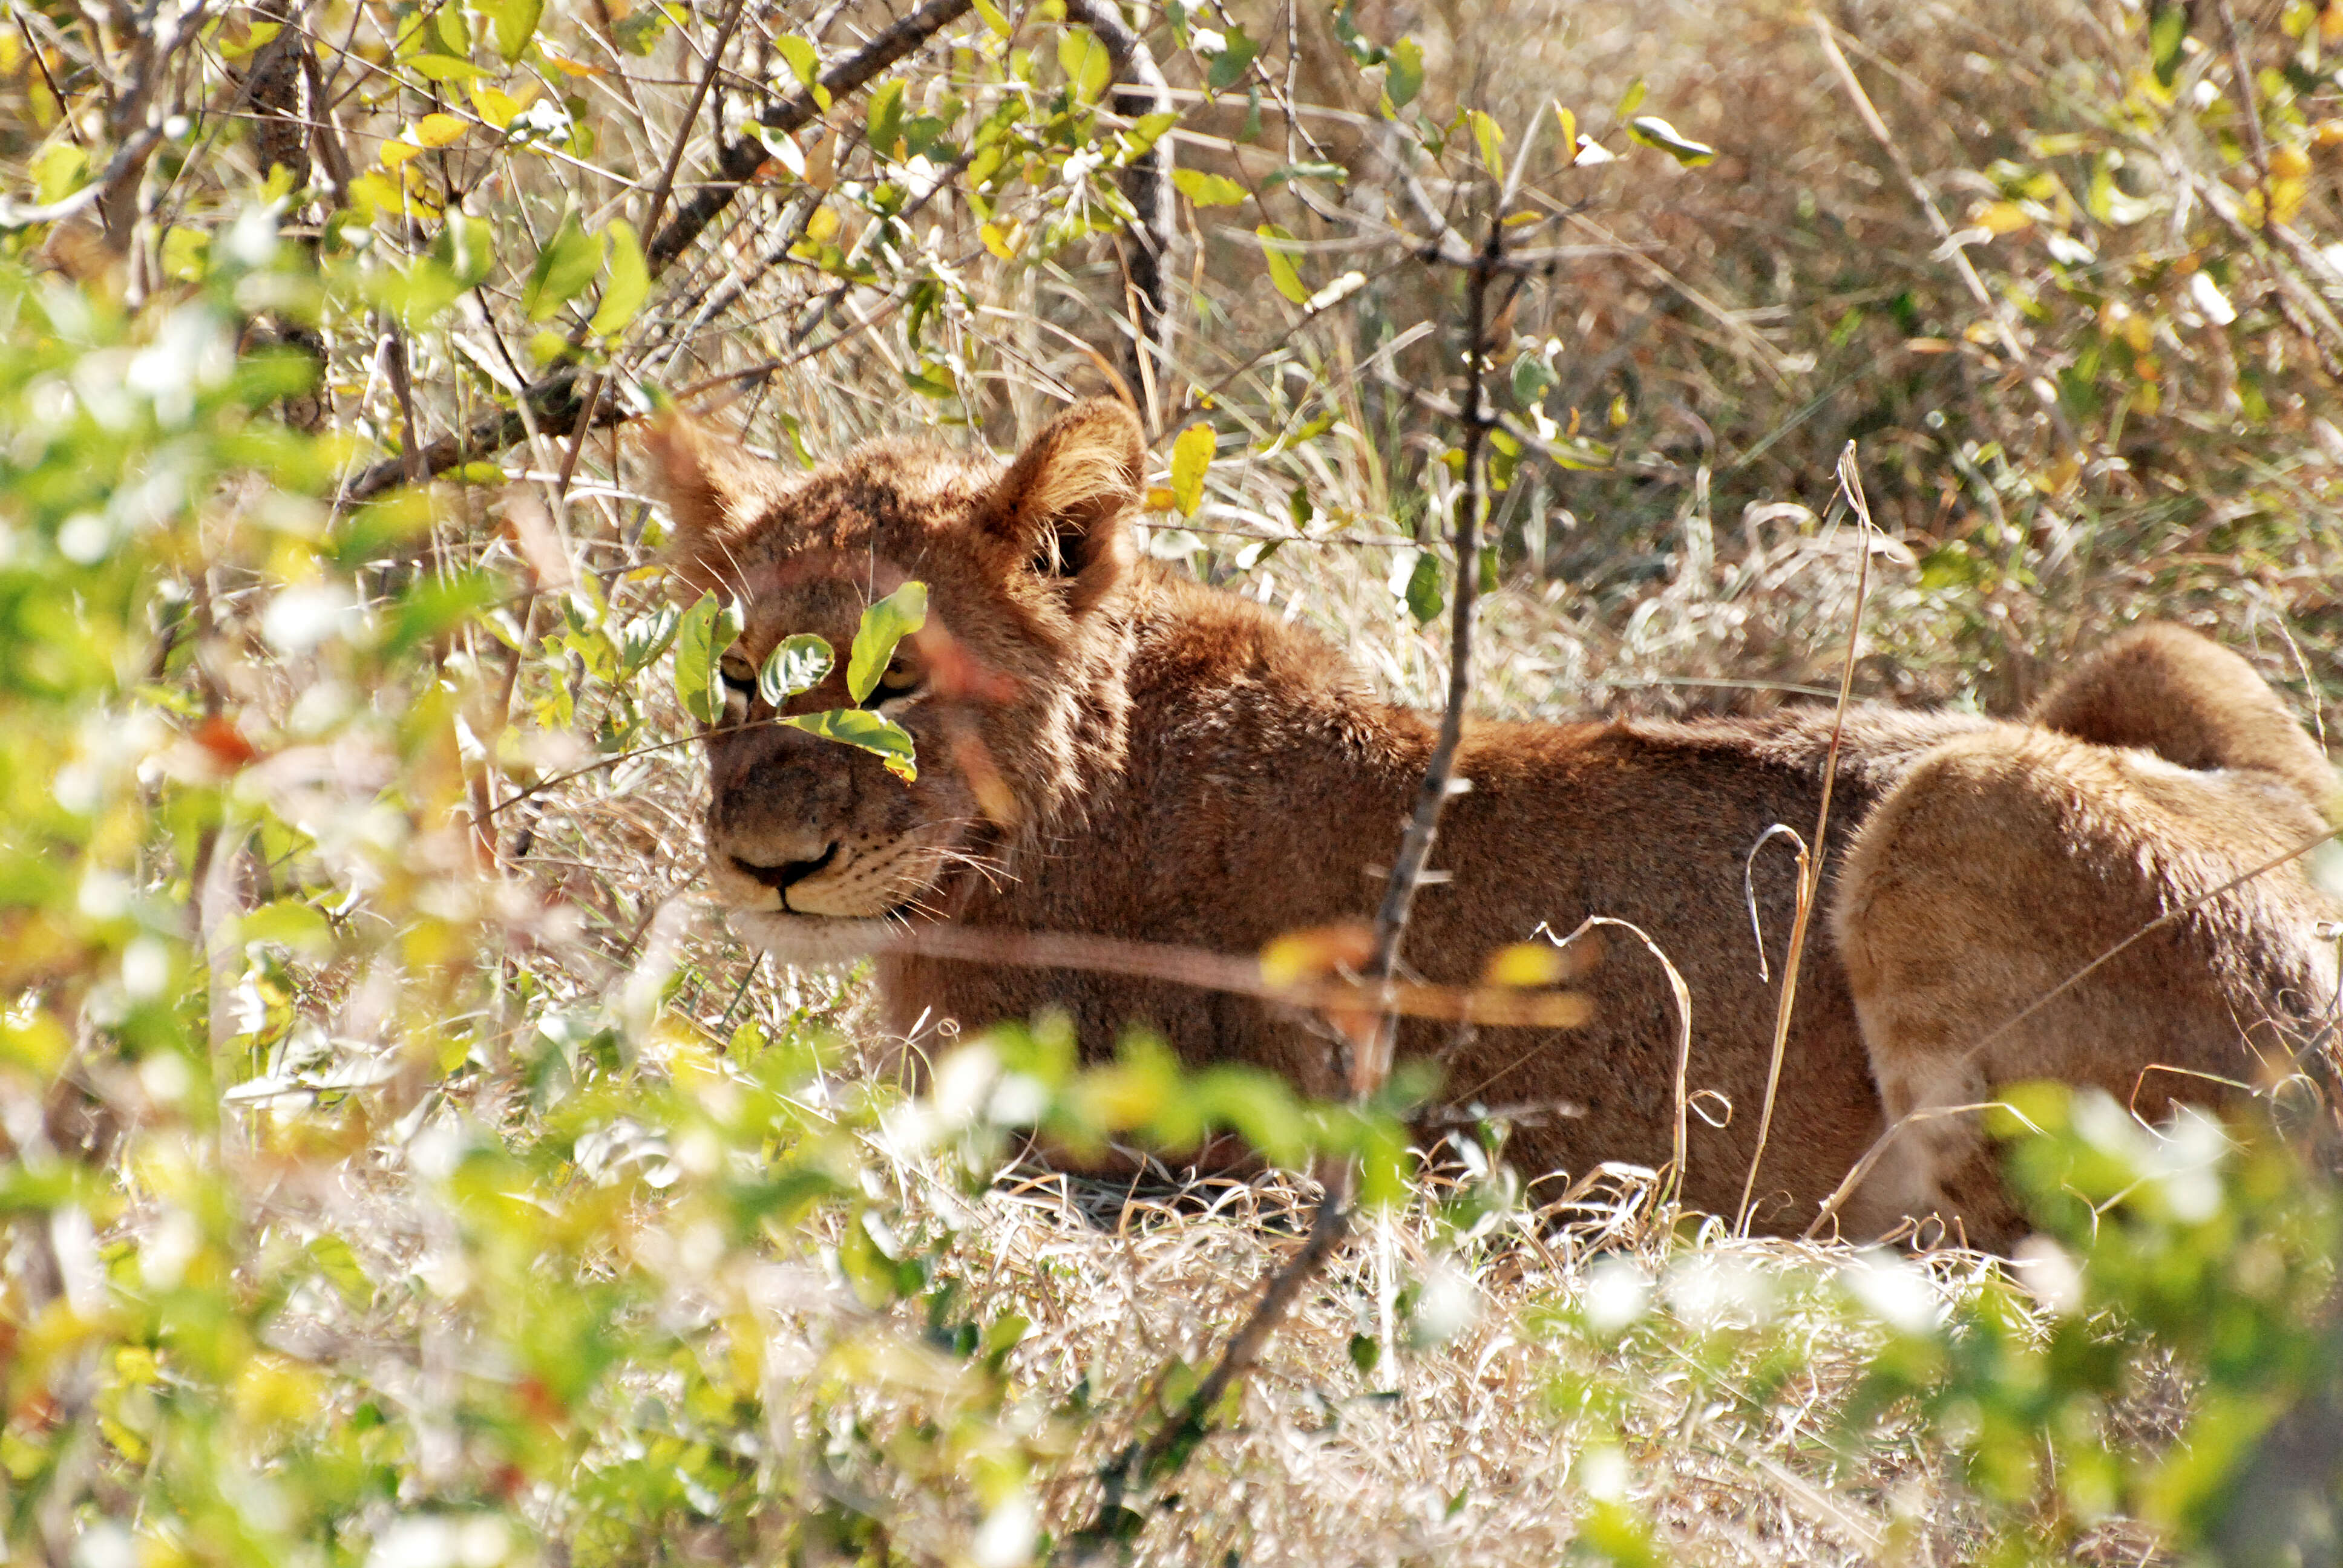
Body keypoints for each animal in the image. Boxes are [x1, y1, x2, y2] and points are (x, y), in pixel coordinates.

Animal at [646, 398, 2343, 1237]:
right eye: (733, 675)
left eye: (898, 679)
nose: (767, 866)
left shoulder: (1150, 1148)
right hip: (2156, 657)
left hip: (1962, 799)